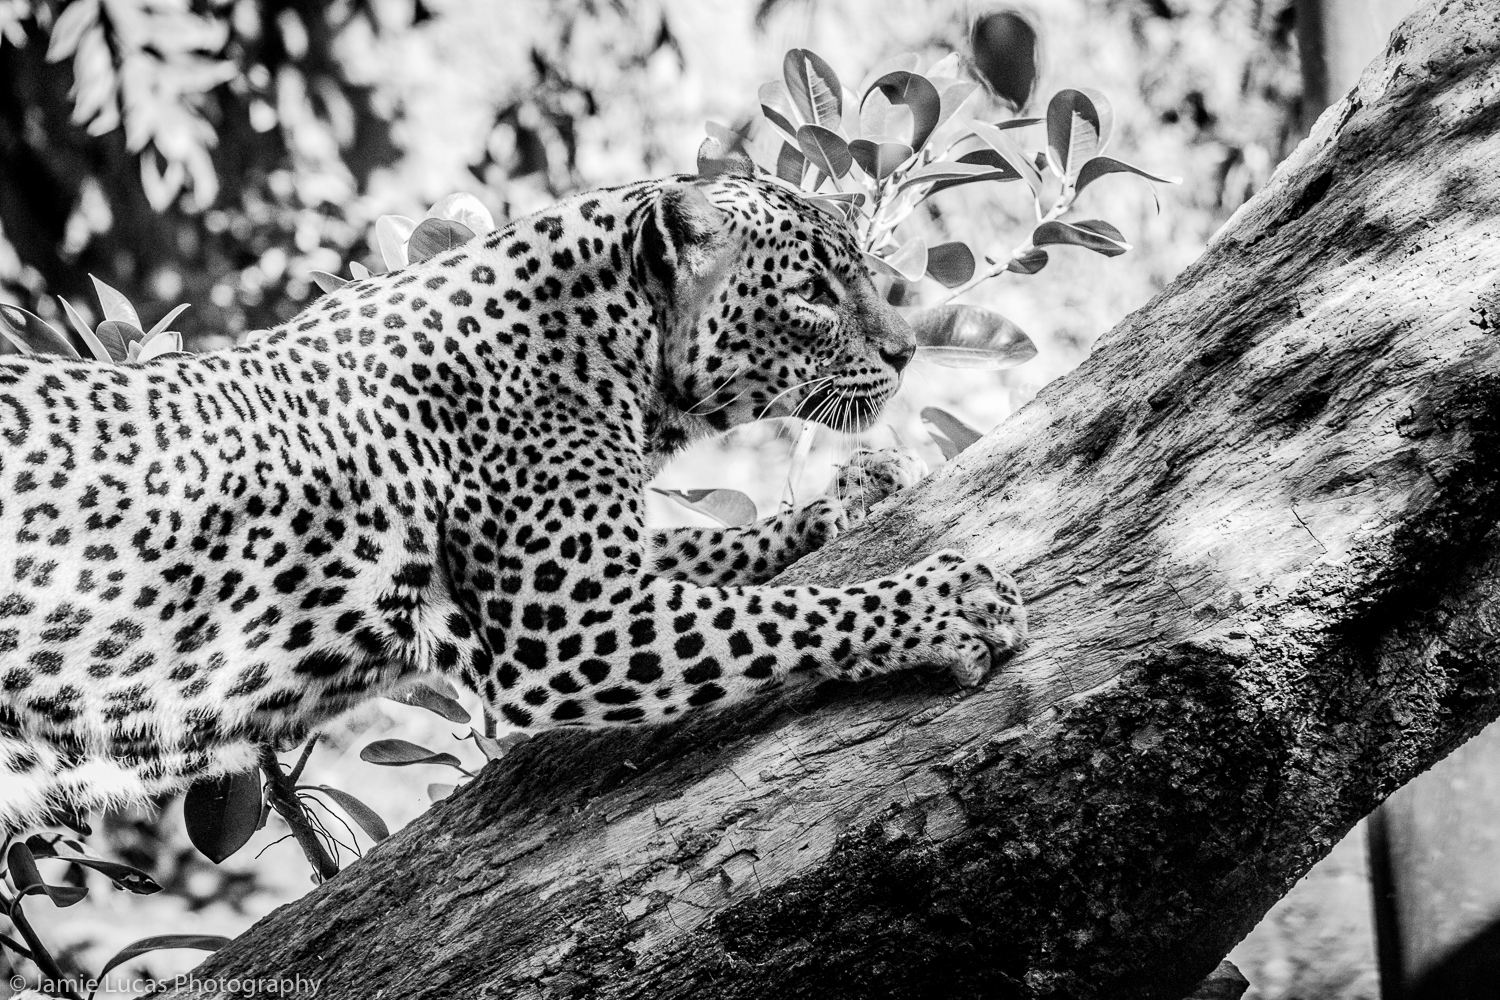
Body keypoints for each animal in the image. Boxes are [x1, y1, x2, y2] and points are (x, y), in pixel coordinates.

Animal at [0, 171, 1025, 832]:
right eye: (812, 291)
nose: (905, 351)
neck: (621, 354)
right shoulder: (565, 626)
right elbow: (790, 614)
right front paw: (950, 601)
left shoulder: (596, 567)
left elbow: (724, 551)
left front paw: (861, 491)